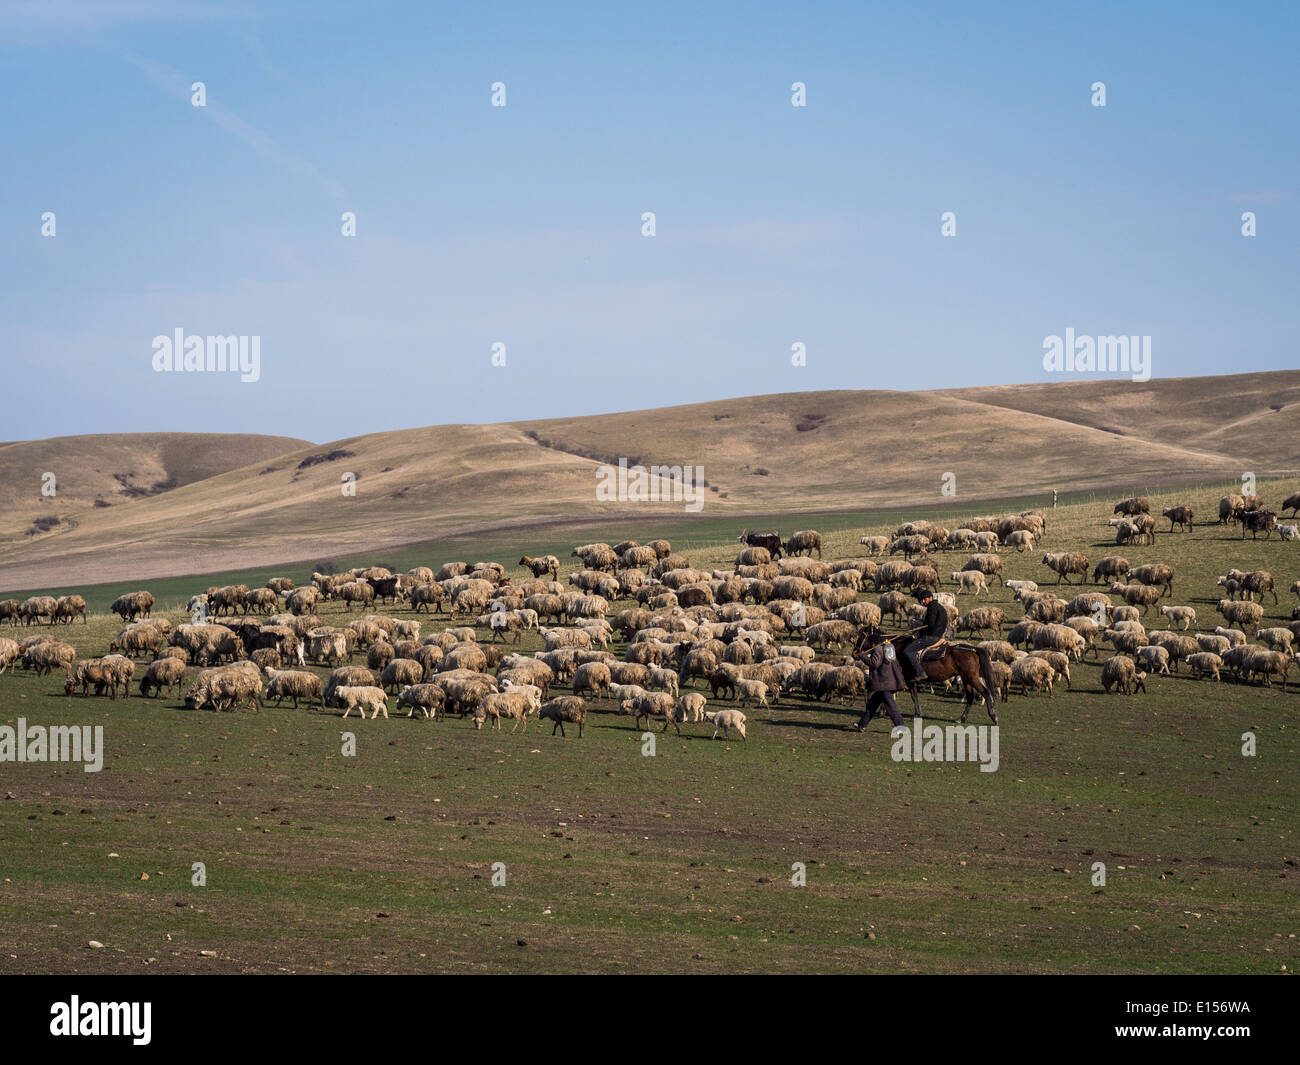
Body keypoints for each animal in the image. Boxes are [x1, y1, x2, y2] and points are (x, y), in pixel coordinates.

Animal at [847, 624, 998, 723]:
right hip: (966, 679)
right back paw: (961, 719)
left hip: (971, 678)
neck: (895, 648)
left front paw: (915, 714)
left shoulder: (906, 679)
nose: (854, 653)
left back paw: (993, 716)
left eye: (862, 636)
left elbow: (909, 695)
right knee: (971, 697)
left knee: (985, 692)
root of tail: (972, 649)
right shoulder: (907, 679)